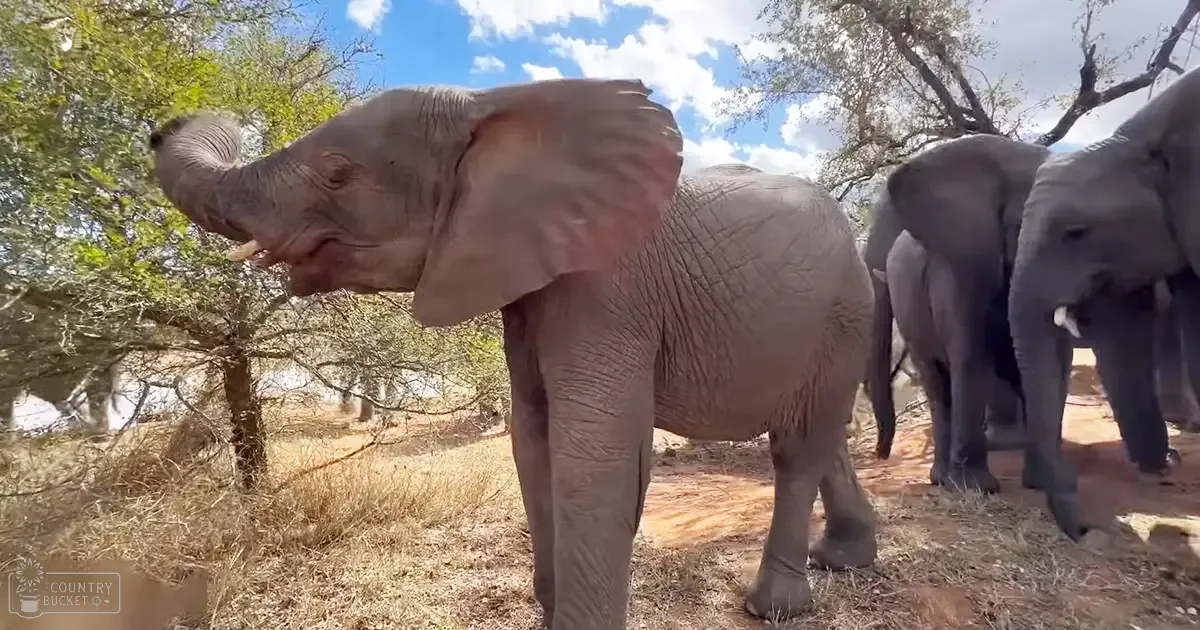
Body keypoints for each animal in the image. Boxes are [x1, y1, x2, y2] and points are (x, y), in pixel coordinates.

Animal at [146, 78, 881, 628]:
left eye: (337, 174)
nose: (168, 121)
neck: (489, 106)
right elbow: (533, 441)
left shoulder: (605, 292)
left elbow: (594, 457)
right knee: (820, 435)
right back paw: (845, 560)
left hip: (847, 313)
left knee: (799, 447)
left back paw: (777, 606)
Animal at [880, 132, 1199, 502]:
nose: (1167, 465)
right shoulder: (962, 268)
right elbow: (972, 355)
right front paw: (977, 488)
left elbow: (1054, 360)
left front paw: (1044, 481)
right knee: (936, 380)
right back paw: (943, 479)